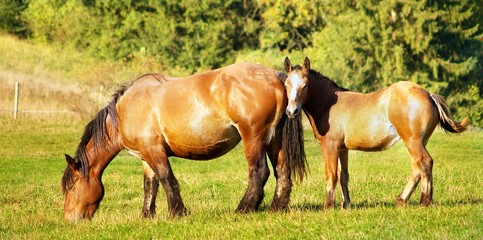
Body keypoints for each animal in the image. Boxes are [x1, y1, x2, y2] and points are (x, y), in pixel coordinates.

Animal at [60, 62, 306, 221]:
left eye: (71, 188)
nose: (70, 219)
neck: (123, 111)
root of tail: (274, 76)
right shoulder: (146, 156)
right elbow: (150, 185)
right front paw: (146, 215)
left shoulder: (155, 151)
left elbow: (167, 179)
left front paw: (176, 212)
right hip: (274, 140)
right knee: (282, 172)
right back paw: (277, 208)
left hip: (253, 138)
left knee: (259, 172)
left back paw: (243, 209)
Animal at [284, 57, 468, 209]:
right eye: (286, 84)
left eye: (305, 85)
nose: (291, 111)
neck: (329, 104)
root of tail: (429, 95)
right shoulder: (342, 149)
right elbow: (343, 175)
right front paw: (346, 204)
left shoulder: (330, 146)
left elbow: (331, 175)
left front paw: (328, 206)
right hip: (418, 141)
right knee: (417, 167)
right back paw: (402, 200)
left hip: (412, 141)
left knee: (424, 162)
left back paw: (425, 201)